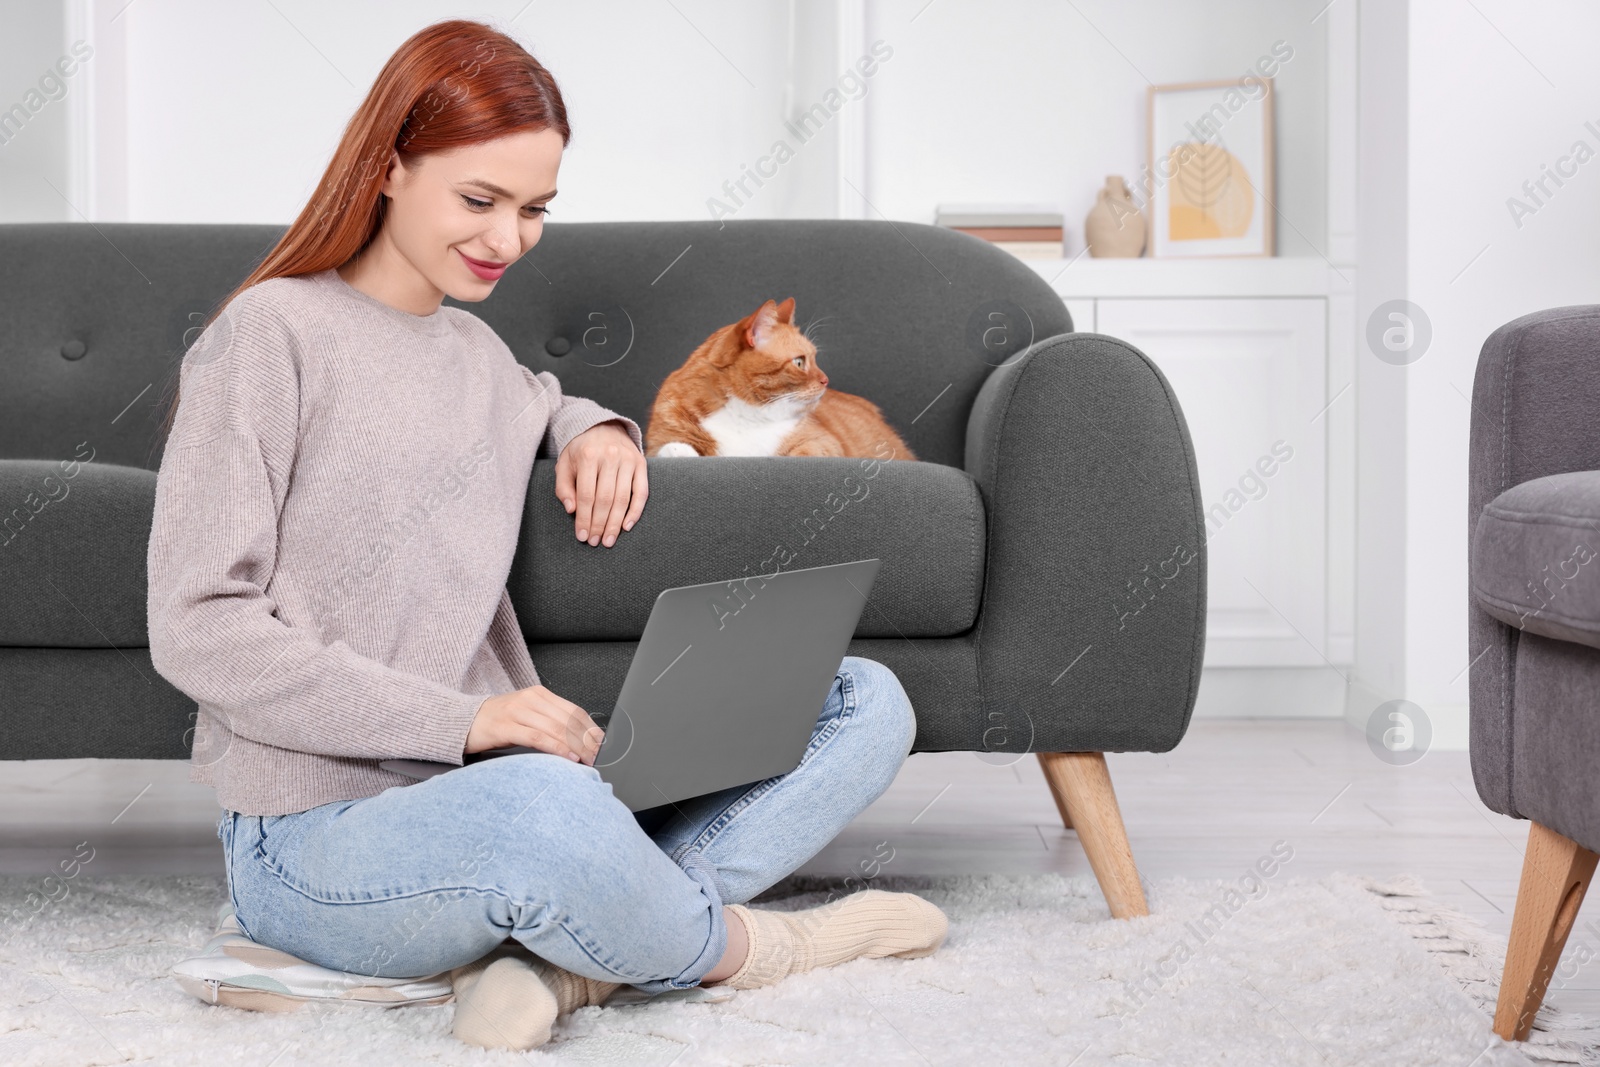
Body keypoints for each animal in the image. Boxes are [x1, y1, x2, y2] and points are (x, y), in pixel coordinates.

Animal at [636, 299, 915, 460]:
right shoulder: (662, 438)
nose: (826, 380)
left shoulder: (824, 443)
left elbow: (805, 453)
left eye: (815, 358)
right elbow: (672, 449)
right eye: (800, 362)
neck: (746, 418)